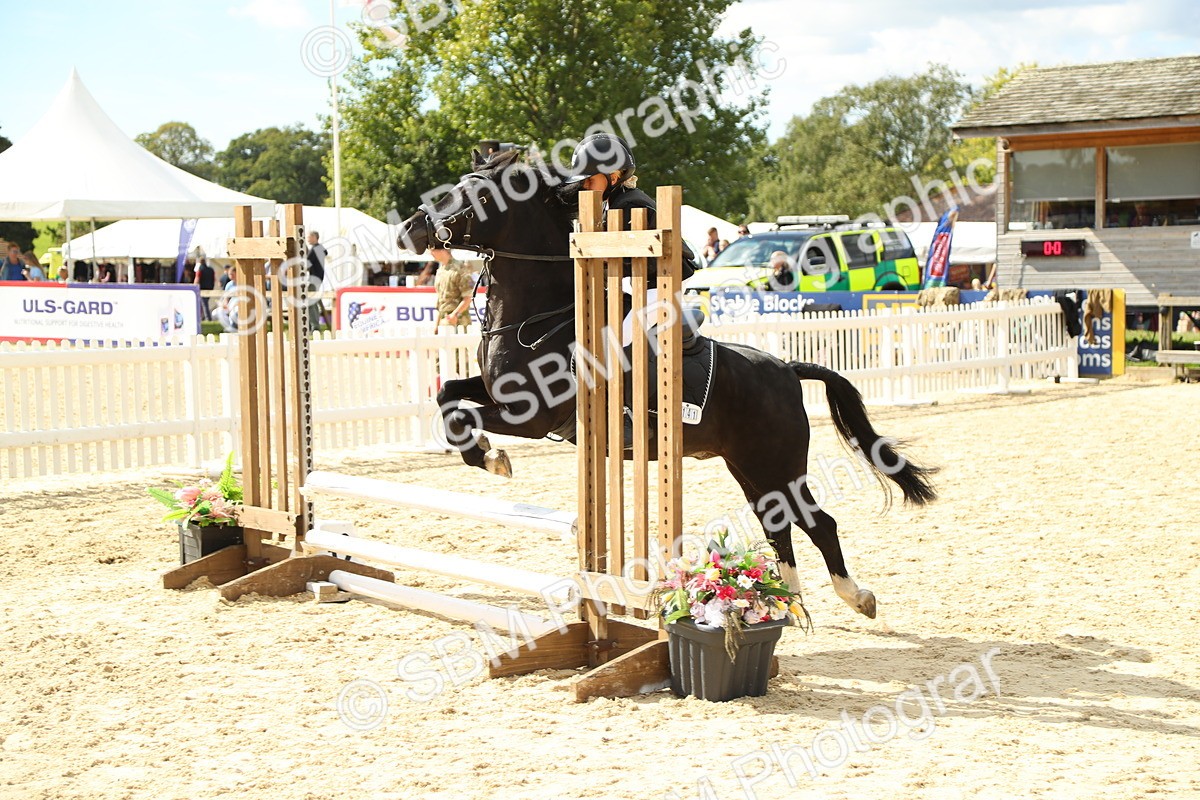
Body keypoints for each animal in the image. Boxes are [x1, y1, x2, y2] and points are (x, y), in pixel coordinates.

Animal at [395, 150, 936, 619]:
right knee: (776, 522)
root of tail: (785, 367)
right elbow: (447, 396)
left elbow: (463, 417)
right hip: (748, 466)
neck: (537, 315)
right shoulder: (497, 394)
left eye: (478, 195)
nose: (409, 229)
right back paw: (787, 602)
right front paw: (485, 454)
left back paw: (855, 597)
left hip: (776, 462)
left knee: (816, 523)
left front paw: (493, 458)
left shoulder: (529, 416)